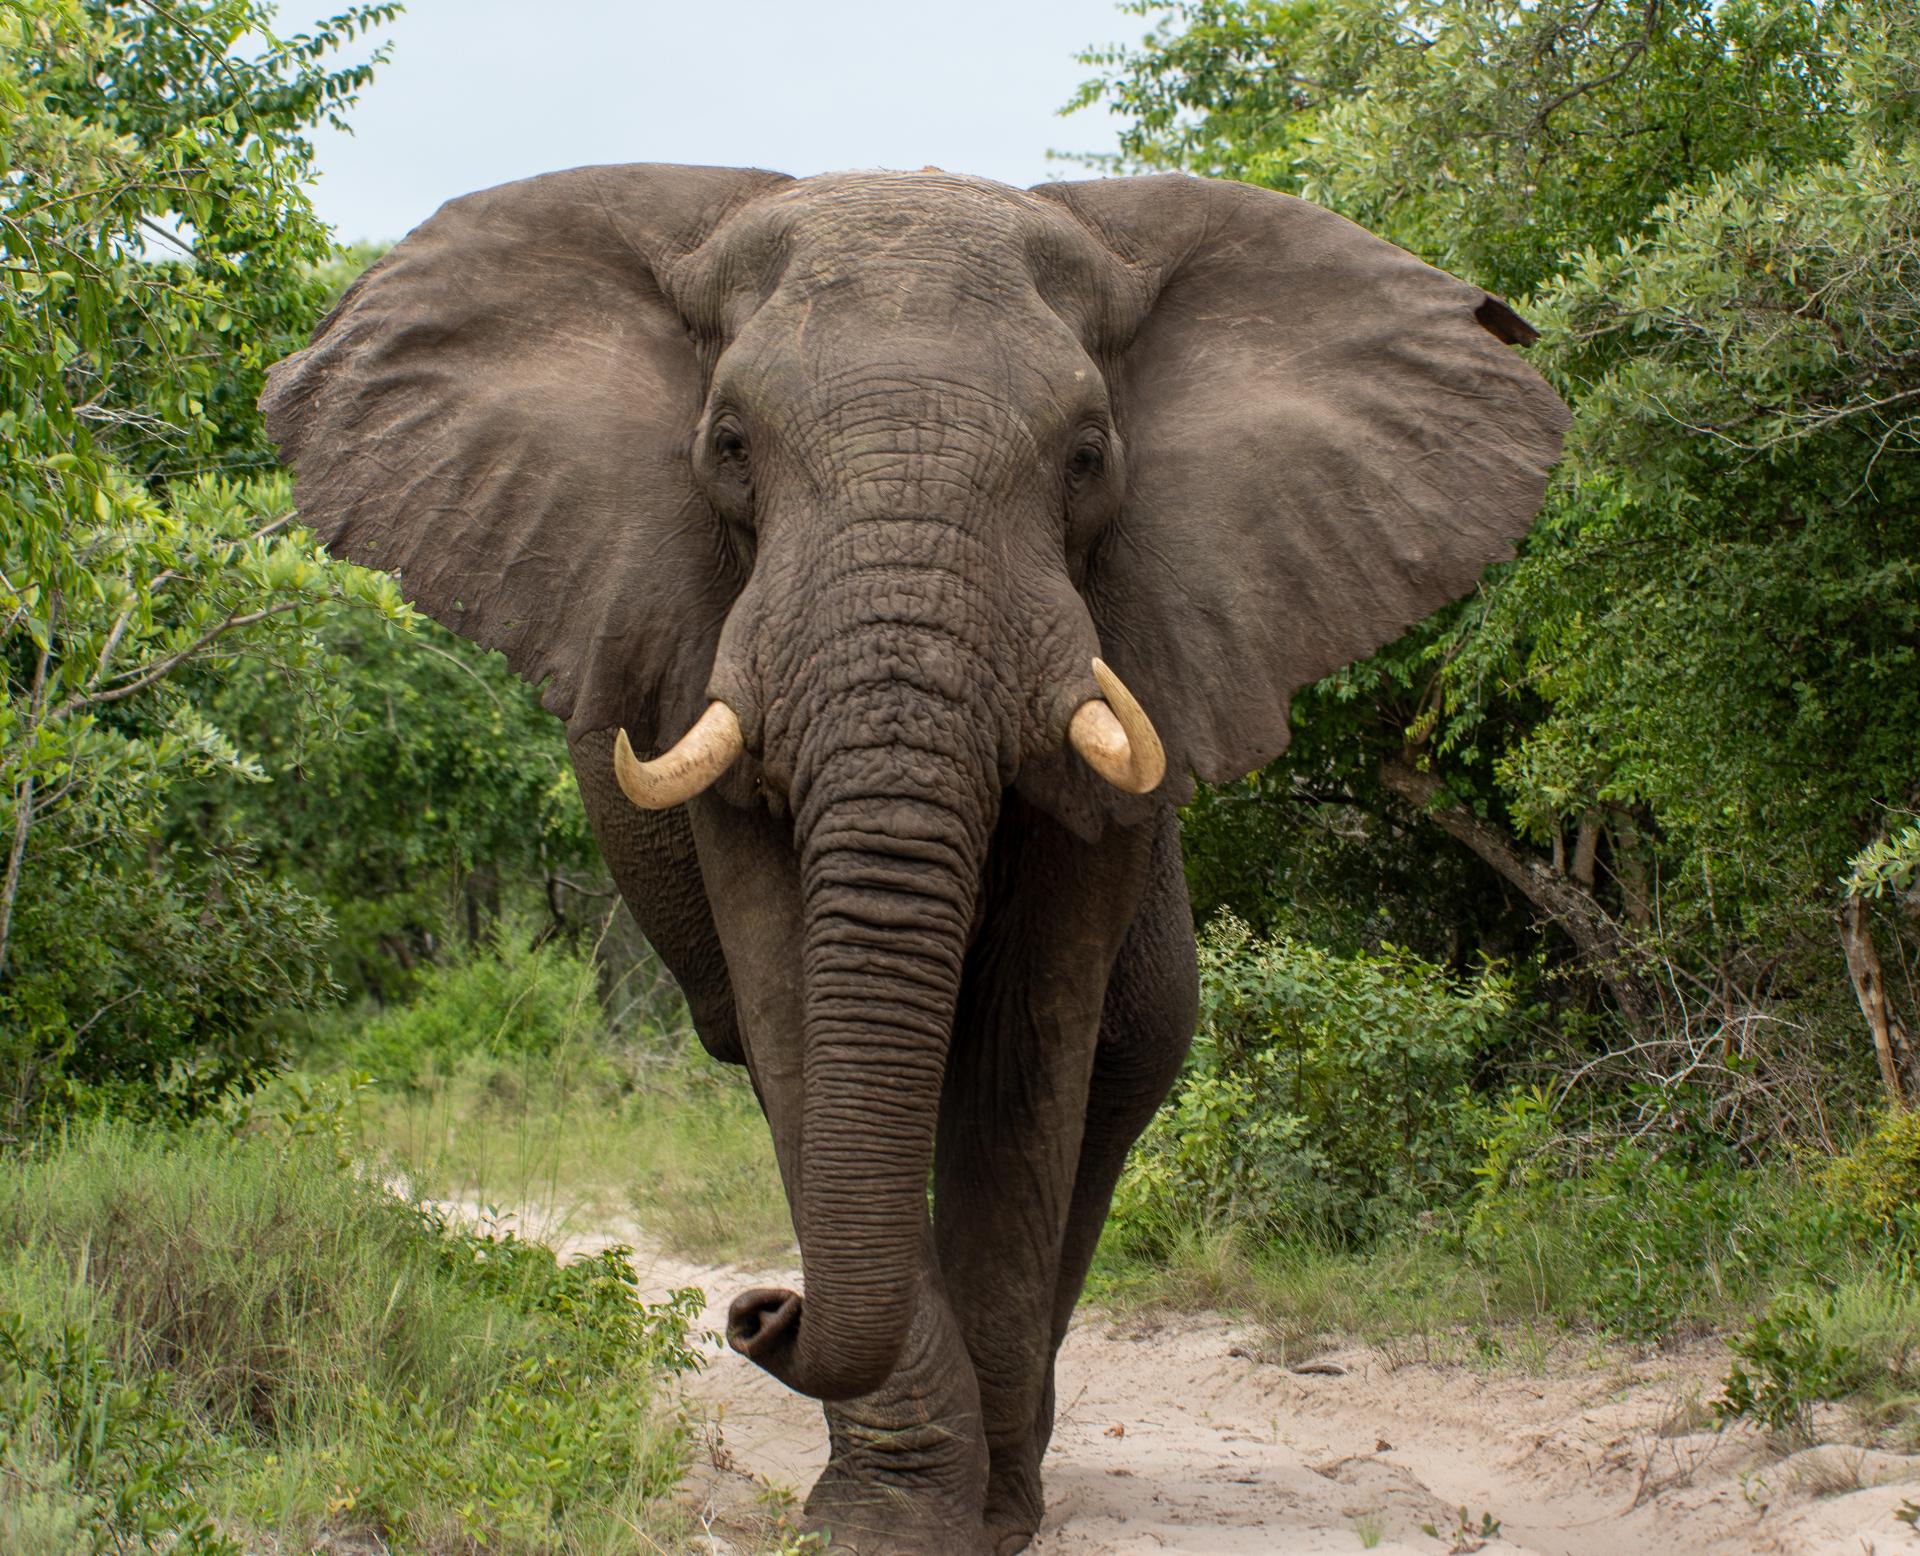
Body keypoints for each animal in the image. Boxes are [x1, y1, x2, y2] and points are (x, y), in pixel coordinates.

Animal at [261, 164, 1567, 1556]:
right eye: (730, 446)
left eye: (1088, 455)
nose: (758, 1312)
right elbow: (790, 998)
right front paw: (882, 1521)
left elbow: (1025, 1042)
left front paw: (986, 1518)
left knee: (1126, 1054)